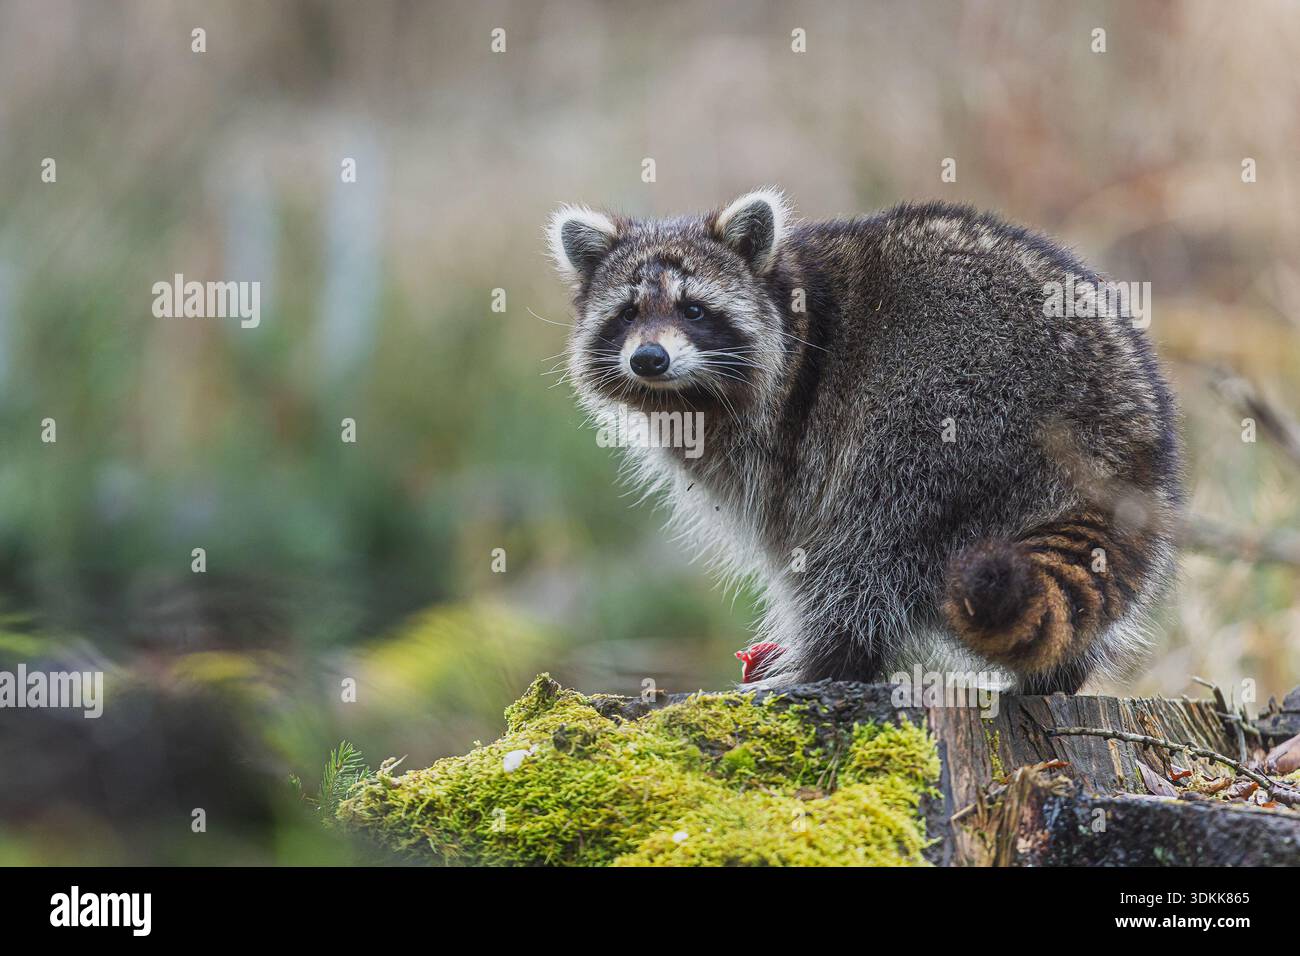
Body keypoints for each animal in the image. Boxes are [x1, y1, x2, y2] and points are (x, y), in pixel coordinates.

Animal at [548, 189, 1181, 693]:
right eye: (628, 313)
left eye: (694, 309)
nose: (649, 358)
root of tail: (1124, 440)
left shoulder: (785, 441)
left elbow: (802, 548)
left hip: (950, 412)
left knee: (868, 543)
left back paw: (830, 660)